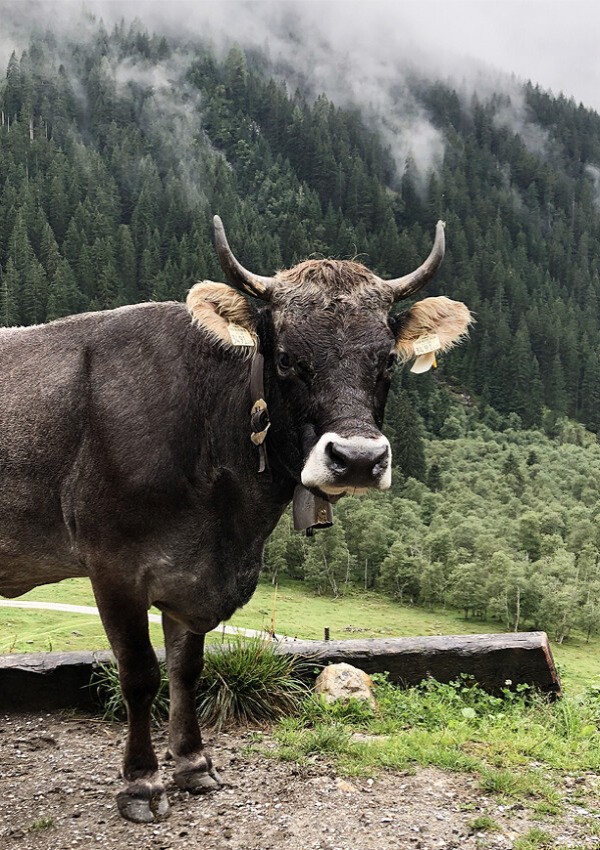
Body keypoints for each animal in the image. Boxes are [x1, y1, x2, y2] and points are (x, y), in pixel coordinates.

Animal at [0, 216, 471, 822]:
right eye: (287, 357)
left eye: (387, 360)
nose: (358, 459)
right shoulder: (113, 567)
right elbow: (140, 673)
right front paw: (142, 783)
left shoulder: (192, 574)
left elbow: (186, 668)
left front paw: (194, 764)